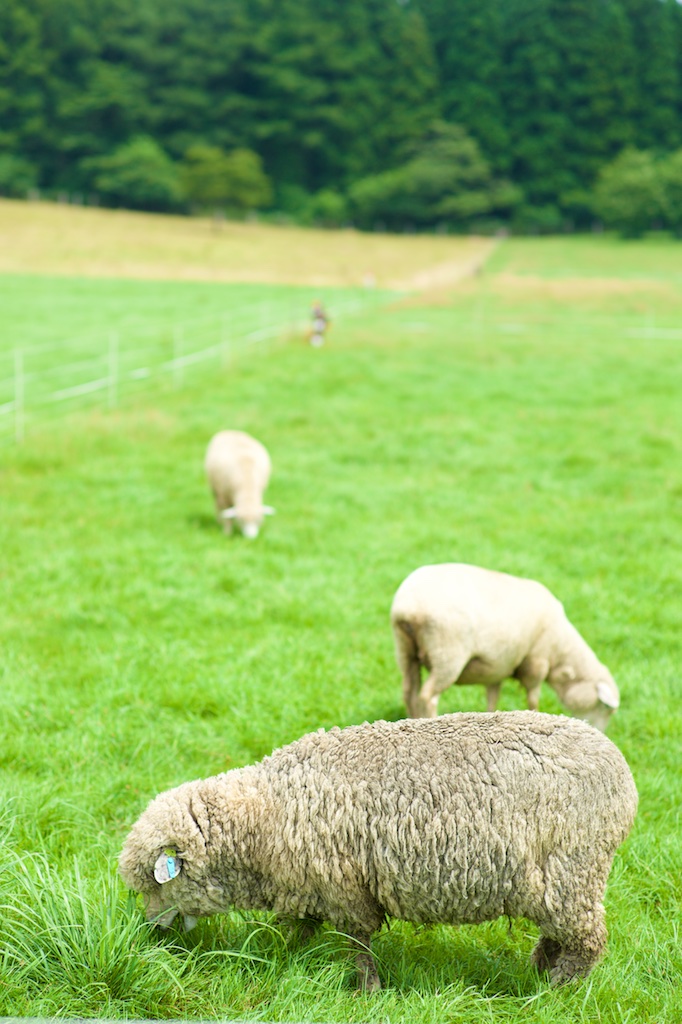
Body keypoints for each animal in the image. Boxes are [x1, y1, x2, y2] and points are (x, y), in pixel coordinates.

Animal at [119, 712, 634, 991]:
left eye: (156, 884)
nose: (151, 934)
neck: (267, 812)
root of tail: (621, 770)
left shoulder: (345, 887)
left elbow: (357, 944)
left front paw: (367, 989)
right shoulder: (311, 886)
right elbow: (300, 930)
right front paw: (287, 959)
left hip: (575, 866)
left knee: (588, 939)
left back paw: (555, 989)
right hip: (556, 880)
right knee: (560, 930)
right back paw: (539, 970)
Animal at [387, 561, 614, 729]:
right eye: (605, 708)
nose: (601, 733)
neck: (562, 650)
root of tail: (409, 607)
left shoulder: (496, 669)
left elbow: (493, 698)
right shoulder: (536, 663)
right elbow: (533, 699)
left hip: (405, 650)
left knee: (409, 691)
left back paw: (412, 720)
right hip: (447, 654)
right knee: (428, 696)